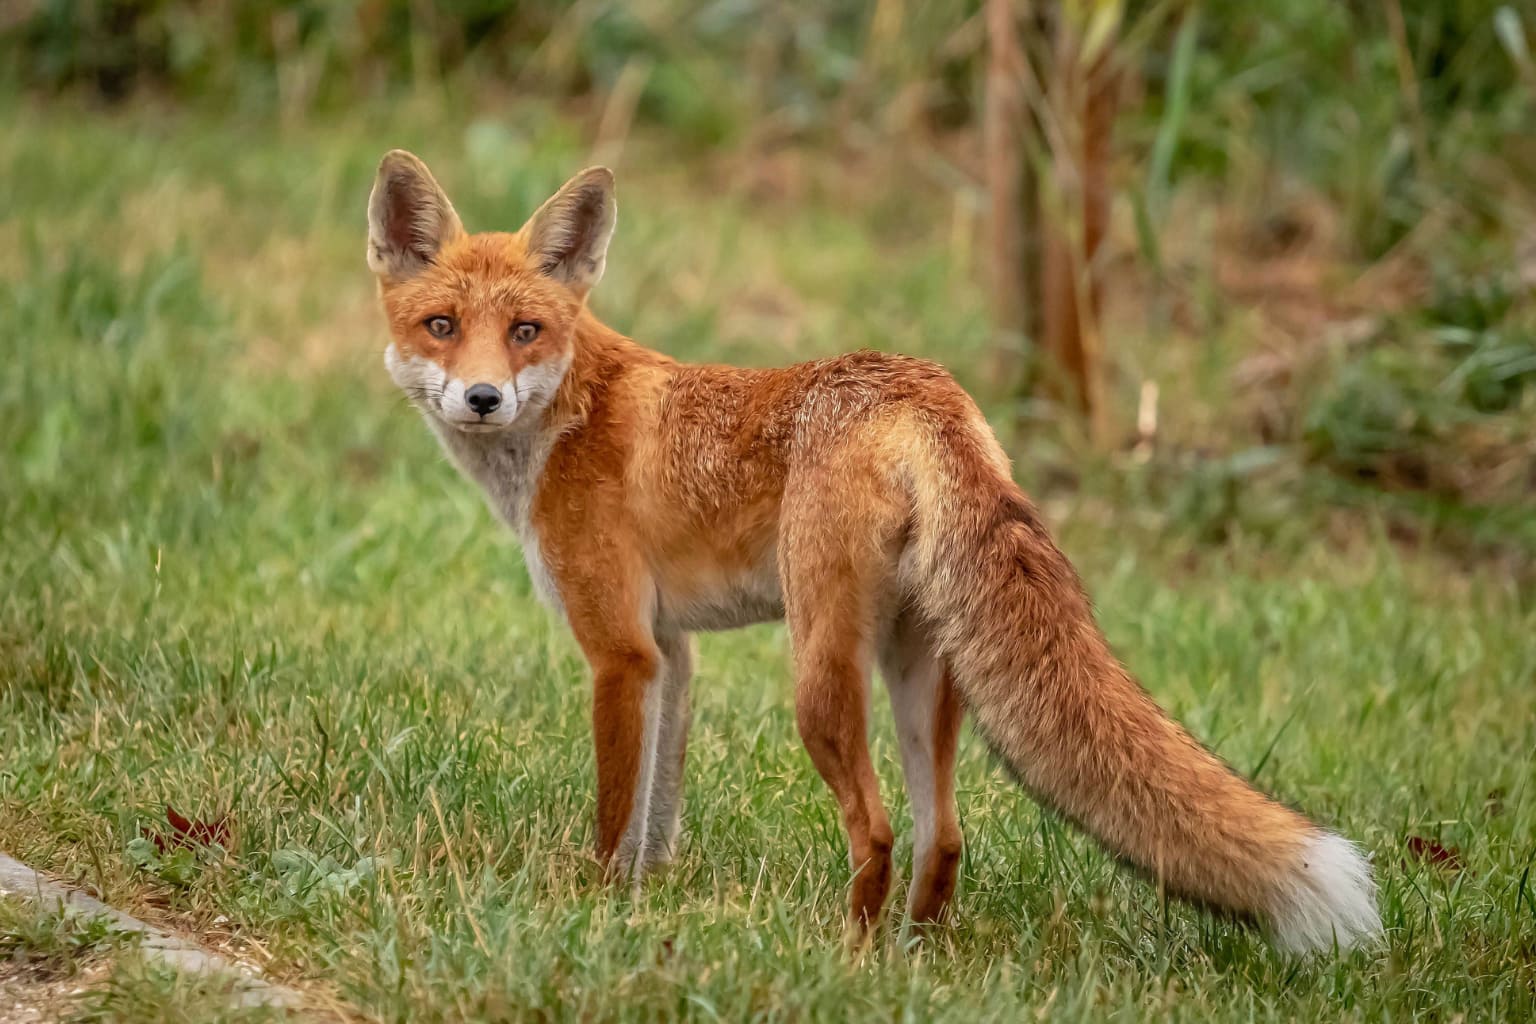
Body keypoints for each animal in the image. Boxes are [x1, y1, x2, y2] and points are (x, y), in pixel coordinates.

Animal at [366, 150, 1381, 954]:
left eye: (525, 331)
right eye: (442, 327)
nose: (484, 398)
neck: (566, 419)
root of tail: (923, 388)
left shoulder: (620, 651)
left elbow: (618, 815)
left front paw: (596, 909)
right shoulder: (671, 652)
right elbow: (659, 812)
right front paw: (644, 903)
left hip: (819, 677)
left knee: (880, 831)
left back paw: (846, 956)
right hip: (920, 671)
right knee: (945, 837)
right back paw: (914, 958)